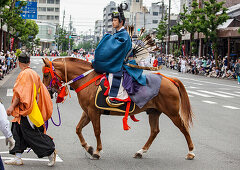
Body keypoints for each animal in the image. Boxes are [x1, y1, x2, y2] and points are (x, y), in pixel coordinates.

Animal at [41, 57, 195, 160]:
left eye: (46, 74)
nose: (47, 92)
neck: (86, 80)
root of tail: (170, 79)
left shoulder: (93, 112)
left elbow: (97, 131)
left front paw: (97, 151)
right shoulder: (87, 111)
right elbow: (78, 129)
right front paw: (88, 148)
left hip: (172, 112)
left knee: (183, 128)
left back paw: (191, 152)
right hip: (154, 112)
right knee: (154, 131)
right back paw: (141, 151)